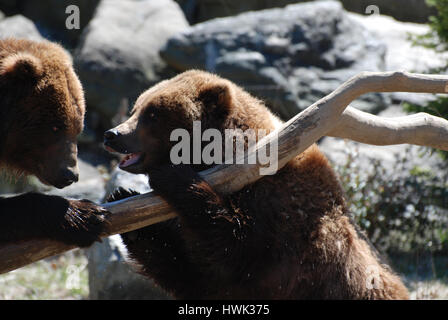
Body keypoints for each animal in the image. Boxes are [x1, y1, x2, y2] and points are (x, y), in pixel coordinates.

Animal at [104, 70, 410, 300]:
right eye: (136, 107)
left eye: (153, 114)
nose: (112, 134)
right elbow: (189, 272)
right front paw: (122, 199)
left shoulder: (284, 223)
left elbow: (235, 249)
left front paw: (170, 176)